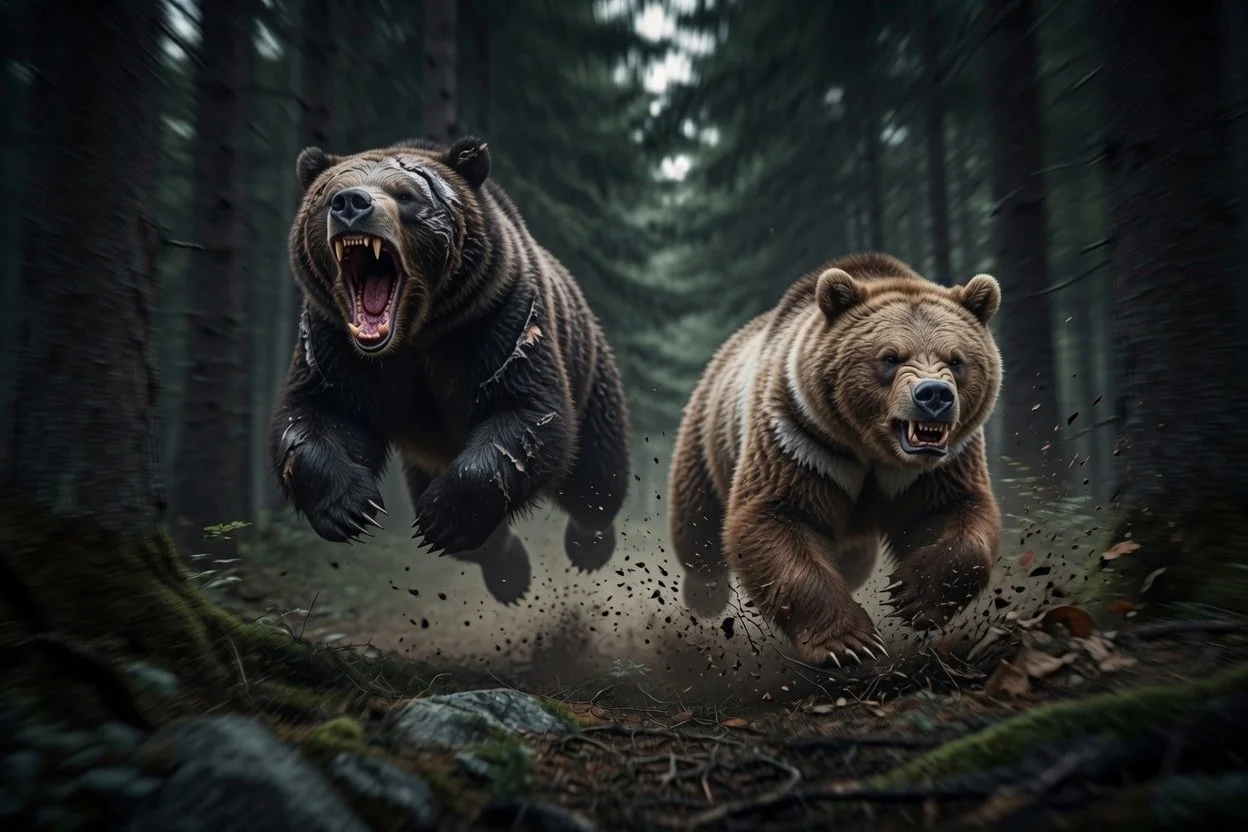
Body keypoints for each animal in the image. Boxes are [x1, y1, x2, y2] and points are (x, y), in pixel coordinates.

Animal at [270, 135, 631, 604]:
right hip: (424, 453)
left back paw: (588, 545)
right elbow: (317, 414)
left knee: (595, 476)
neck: (414, 333)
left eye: (405, 195)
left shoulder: (498, 320)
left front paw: (443, 515)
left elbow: (527, 413)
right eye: (331, 193)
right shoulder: (334, 340)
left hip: (588, 368)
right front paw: (352, 506)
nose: (351, 203)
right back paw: (509, 572)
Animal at [667, 252, 1003, 667]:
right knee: (697, 522)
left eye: (956, 360)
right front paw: (850, 643)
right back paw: (705, 594)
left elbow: (957, 513)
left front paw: (911, 595)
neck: (872, 448)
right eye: (890, 357)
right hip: (708, 434)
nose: (935, 395)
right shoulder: (800, 437)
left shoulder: (943, 463)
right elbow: (776, 516)